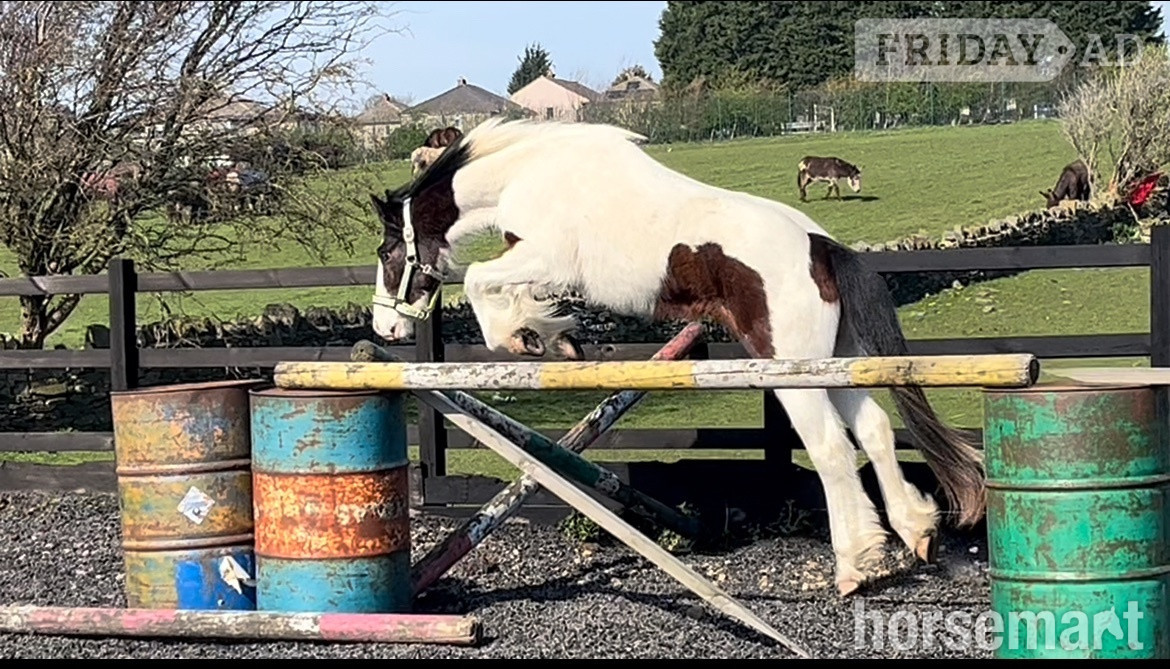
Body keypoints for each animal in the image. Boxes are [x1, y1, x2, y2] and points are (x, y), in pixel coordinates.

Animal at [366, 118, 986, 596]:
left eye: (388, 252)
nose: (385, 326)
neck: (531, 173)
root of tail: (821, 246)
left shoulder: (543, 257)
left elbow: (478, 281)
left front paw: (529, 336)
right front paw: (553, 336)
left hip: (792, 371)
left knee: (832, 449)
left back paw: (855, 567)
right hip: (833, 366)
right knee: (875, 430)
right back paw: (917, 532)